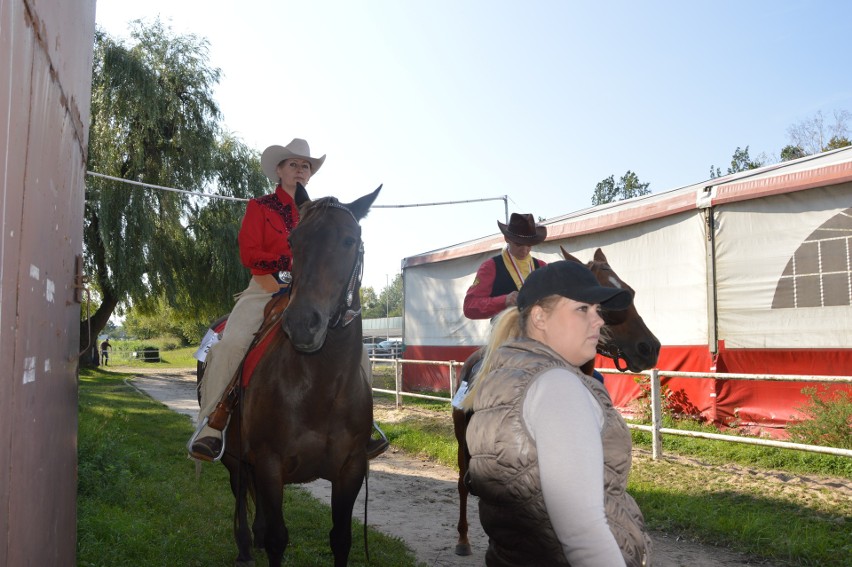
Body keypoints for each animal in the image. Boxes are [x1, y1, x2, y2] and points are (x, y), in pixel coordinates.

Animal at [221, 184, 382, 564]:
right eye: (293, 241)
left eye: (350, 240)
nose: (301, 323)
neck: (320, 387)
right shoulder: (268, 464)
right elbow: (278, 538)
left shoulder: (351, 469)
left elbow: (341, 538)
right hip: (235, 459)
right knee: (240, 495)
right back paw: (245, 546)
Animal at [452, 247, 660, 556]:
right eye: (607, 304)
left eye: (630, 291)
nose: (650, 348)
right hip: (461, 444)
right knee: (462, 485)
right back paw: (463, 539)